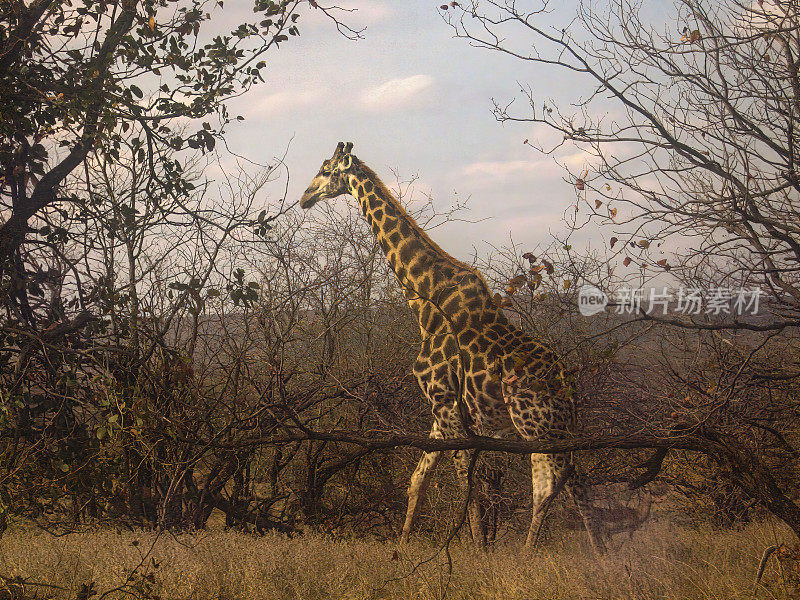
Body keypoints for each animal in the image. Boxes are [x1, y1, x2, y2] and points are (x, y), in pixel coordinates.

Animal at [300, 142, 608, 552]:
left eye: (325, 170)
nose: (304, 198)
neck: (425, 301)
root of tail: (568, 386)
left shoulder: (447, 404)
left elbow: (466, 480)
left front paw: (477, 551)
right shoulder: (441, 408)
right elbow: (420, 478)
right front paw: (401, 548)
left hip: (535, 424)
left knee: (550, 482)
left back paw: (529, 555)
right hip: (559, 427)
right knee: (576, 481)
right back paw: (603, 555)